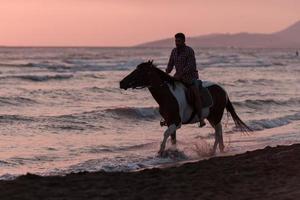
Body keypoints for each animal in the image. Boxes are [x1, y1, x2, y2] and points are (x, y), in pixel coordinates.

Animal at [119, 61, 251, 156]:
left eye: (140, 71)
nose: (121, 82)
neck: (168, 96)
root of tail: (223, 90)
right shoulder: (170, 122)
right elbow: (172, 138)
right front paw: (173, 151)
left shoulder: (177, 123)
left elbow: (166, 134)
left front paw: (161, 151)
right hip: (211, 118)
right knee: (219, 131)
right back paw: (220, 149)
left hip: (216, 116)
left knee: (218, 132)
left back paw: (213, 151)